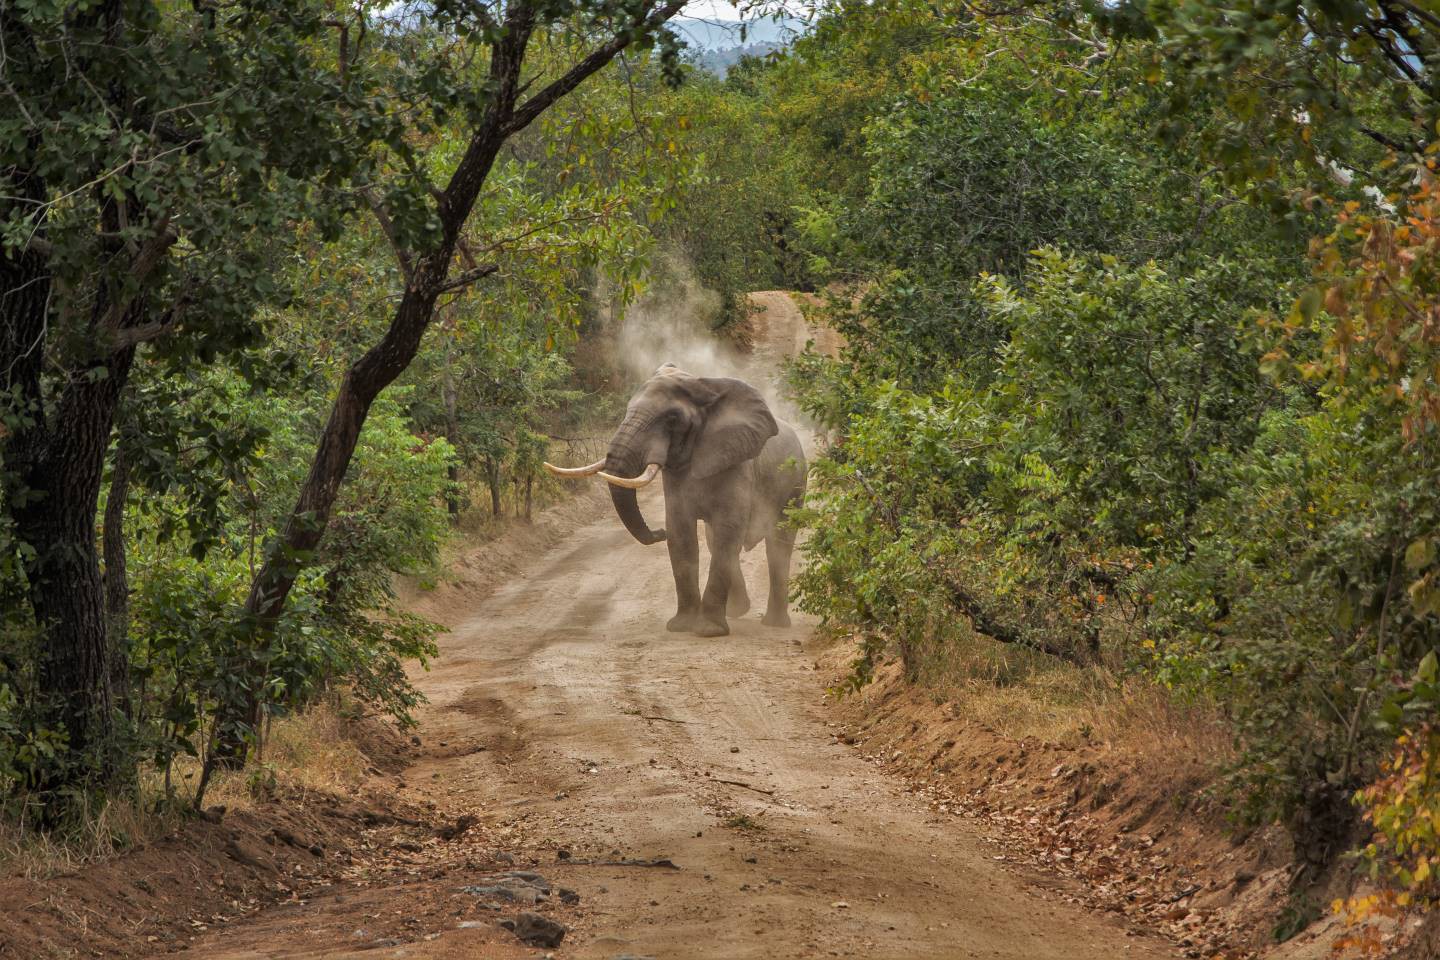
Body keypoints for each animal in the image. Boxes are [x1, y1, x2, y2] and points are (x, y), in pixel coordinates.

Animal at [544, 364, 806, 633]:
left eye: (671, 418)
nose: (658, 532)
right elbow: (681, 534)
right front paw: (681, 626)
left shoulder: (738, 464)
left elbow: (727, 531)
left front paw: (708, 632)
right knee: (715, 539)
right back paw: (738, 611)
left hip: (796, 483)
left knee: (778, 545)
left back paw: (775, 624)